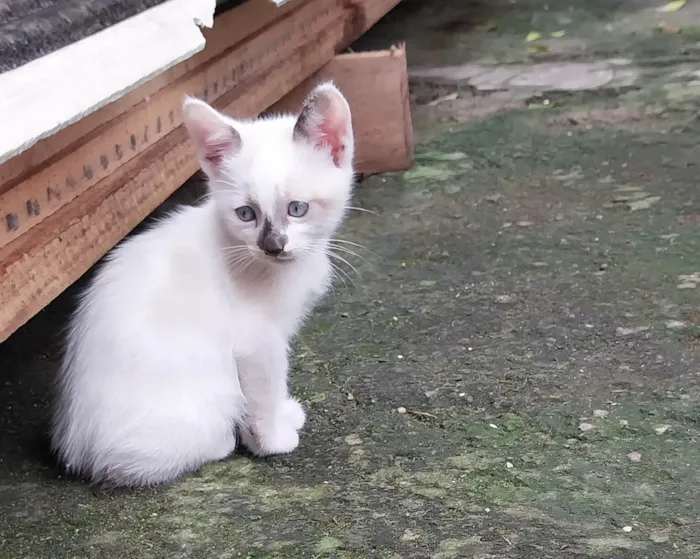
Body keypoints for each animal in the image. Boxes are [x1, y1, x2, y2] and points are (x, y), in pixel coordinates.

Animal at [50, 81, 356, 488]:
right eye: (246, 213)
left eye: (297, 209)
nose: (272, 246)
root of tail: (77, 448)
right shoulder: (257, 341)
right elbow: (265, 392)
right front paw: (272, 439)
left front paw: (280, 420)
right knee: (131, 462)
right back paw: (221, 442)